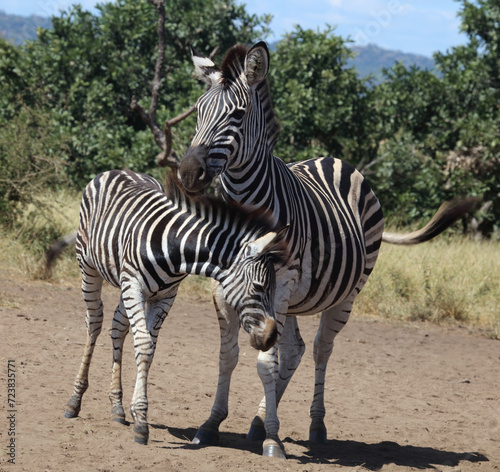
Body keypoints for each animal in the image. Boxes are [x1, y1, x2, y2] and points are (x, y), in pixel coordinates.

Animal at [65, 169, 290, 446]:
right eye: (259, 287)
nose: (271, 337)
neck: (175, 250)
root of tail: (118, 170)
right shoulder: (134, 284)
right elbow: (143, 344)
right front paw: (141, 422)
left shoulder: (165, 296)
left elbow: (149, 348)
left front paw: (137, 413)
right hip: (88, 267)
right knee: (94, 322)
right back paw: (74, 401)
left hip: (126, 286)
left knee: (118, 327)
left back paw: (116, 407)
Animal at [179, 41, 476, 458]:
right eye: (198, 110)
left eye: (237, 115)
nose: (189, 174)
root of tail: (335, 159)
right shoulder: (222, 285)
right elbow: (229, 356)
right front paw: (211, 425)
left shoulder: (277, 284)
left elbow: (265, 361)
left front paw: (273, 441)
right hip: (297, 297)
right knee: (295, 349)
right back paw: (258, 421)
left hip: (343, 293)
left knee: (320, 349)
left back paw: (314, 426)